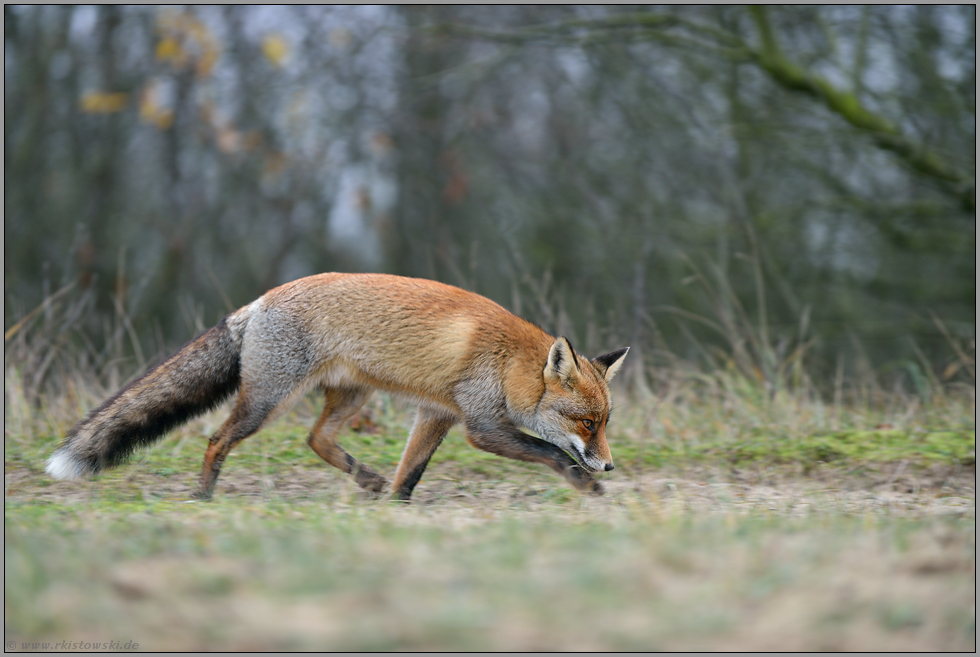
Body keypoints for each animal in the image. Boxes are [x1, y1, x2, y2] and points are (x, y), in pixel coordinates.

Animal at [47, 272, 628, 498]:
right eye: (586, 423)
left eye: (605, 423)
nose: (609, 465)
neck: (509, 364)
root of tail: (258, 301)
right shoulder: (480, 426)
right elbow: (550, 452)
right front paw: (584, 483)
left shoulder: (437, 414)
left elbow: (411, 473)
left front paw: (396, 504)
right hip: (268, 401)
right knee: (217, 439)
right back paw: (204, 494)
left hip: (351, 397)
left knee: (316, 439)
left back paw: (365, 479)